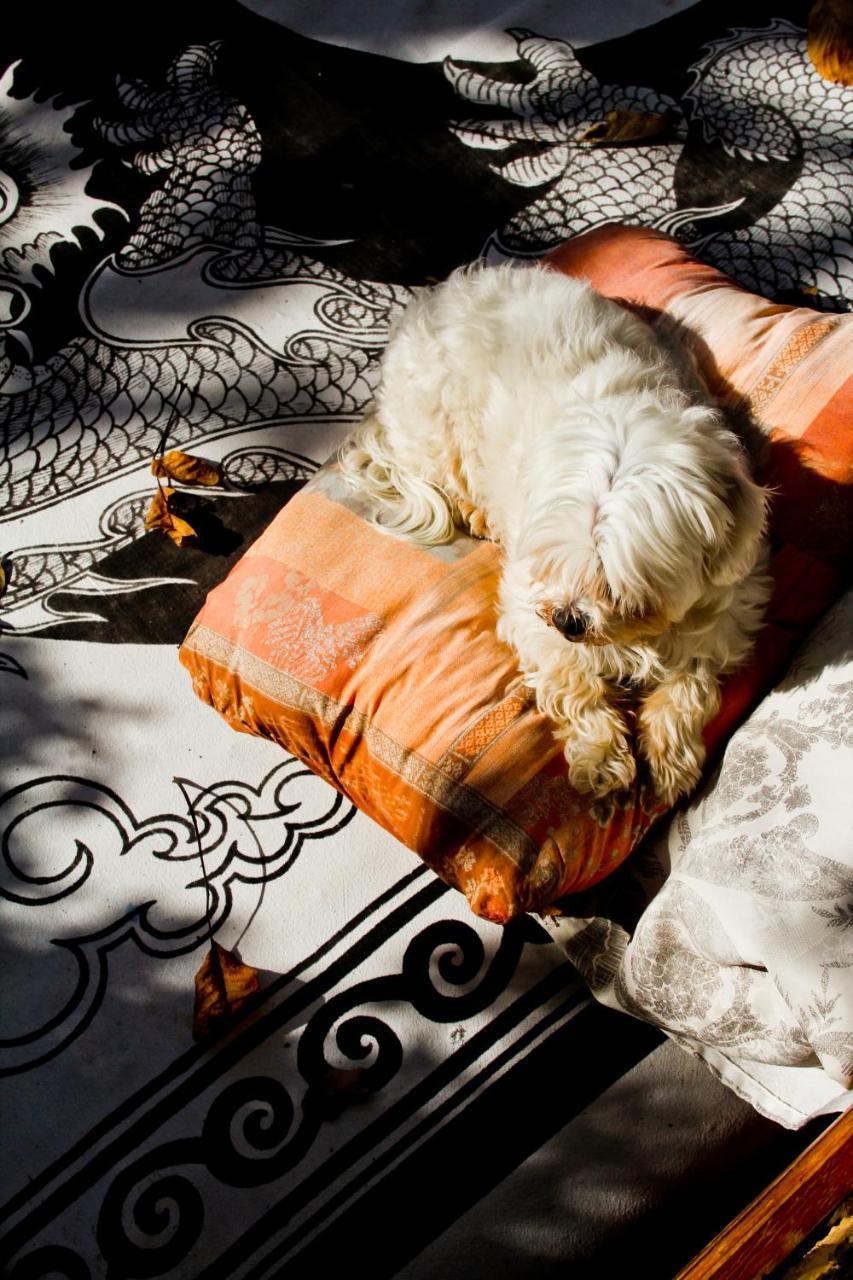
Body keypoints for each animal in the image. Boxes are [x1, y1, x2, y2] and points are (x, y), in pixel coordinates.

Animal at [338, 258, 768, 798]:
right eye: (553, 564)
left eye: (620, 588)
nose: (569, 619)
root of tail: (435, 296)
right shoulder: (530, 608)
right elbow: (575, 683)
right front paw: (601, 758)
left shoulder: (724, 615)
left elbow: (689, 688)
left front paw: (670, 758)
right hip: (433, 427)